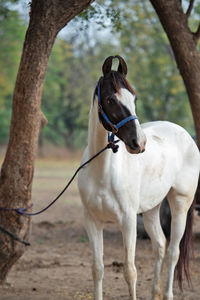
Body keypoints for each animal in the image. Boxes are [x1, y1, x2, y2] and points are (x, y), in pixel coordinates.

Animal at [78, 56, 200, 300]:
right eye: (110, 99)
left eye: (134, 98)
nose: (139, 143)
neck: (103, 171)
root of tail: (185, 135)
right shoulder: (92, 221)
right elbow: (97, 269)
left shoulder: (128, 220)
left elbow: (130, 271)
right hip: (152, 208)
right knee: (160, 246)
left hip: (180, 204)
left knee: (173, 251)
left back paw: (169, 293)